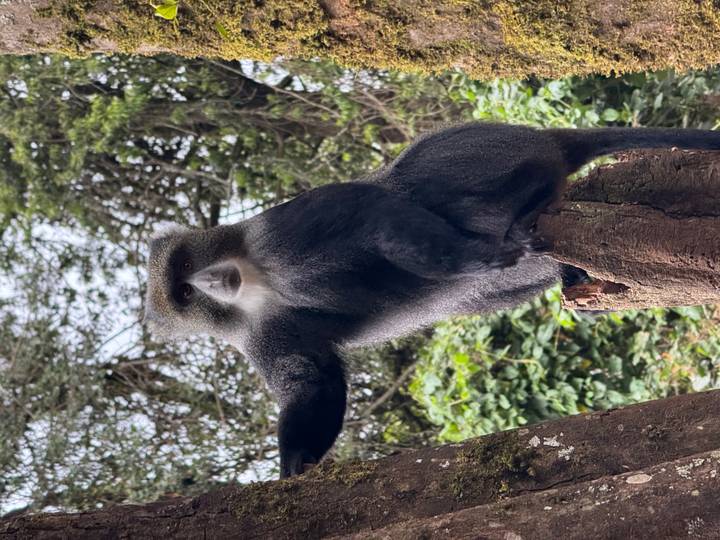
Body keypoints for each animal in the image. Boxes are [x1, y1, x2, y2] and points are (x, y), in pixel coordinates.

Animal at [144, 123, 720, 478]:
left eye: (183, 282)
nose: (211, 284)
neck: (252, 282)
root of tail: (537, 137)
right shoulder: (263, 335)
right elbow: (314, 382)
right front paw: (295, 465)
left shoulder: (285, 235)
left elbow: (378, 213)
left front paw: (480, 257)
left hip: (479, 155)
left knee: (410, 184)